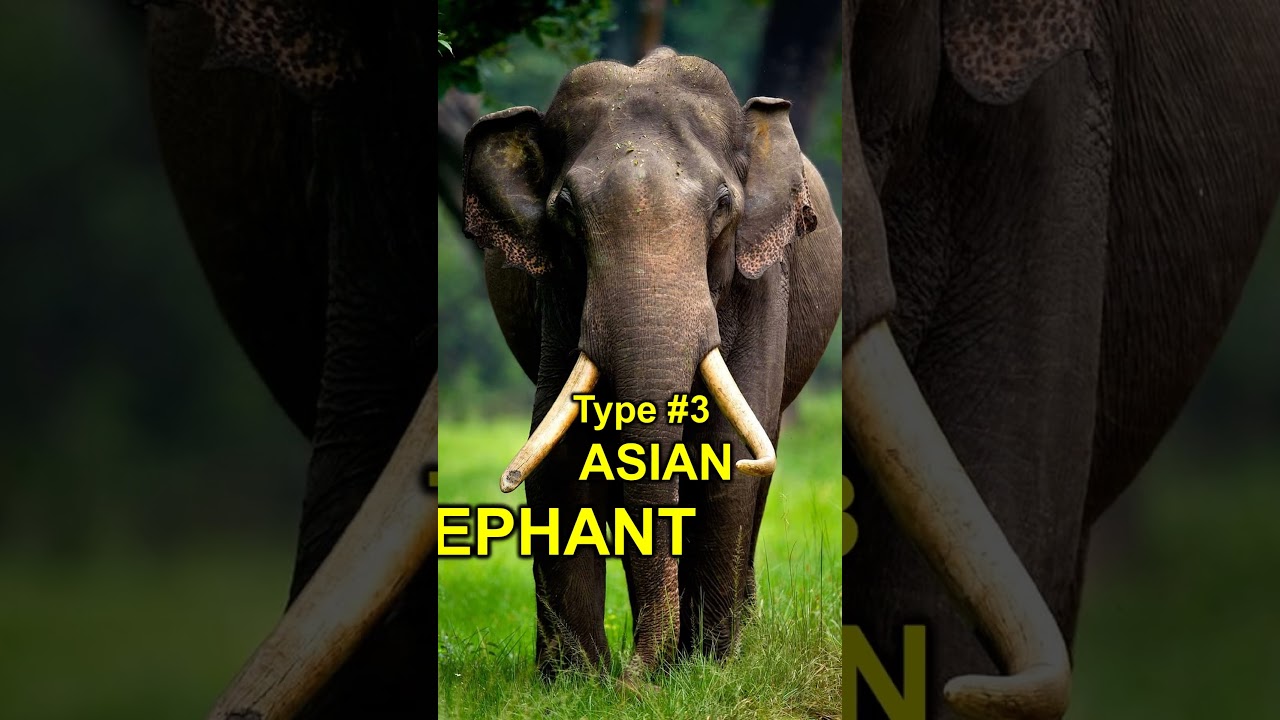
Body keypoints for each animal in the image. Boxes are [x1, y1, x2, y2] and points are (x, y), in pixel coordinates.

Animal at [461, 47, 841, 681]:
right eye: (566, 211)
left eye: (723, 205)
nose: (636, 677)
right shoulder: (559, 296)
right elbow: (560, 448)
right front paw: (577, 683)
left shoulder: (762, 281)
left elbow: (729, 448)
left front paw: (707, 671)